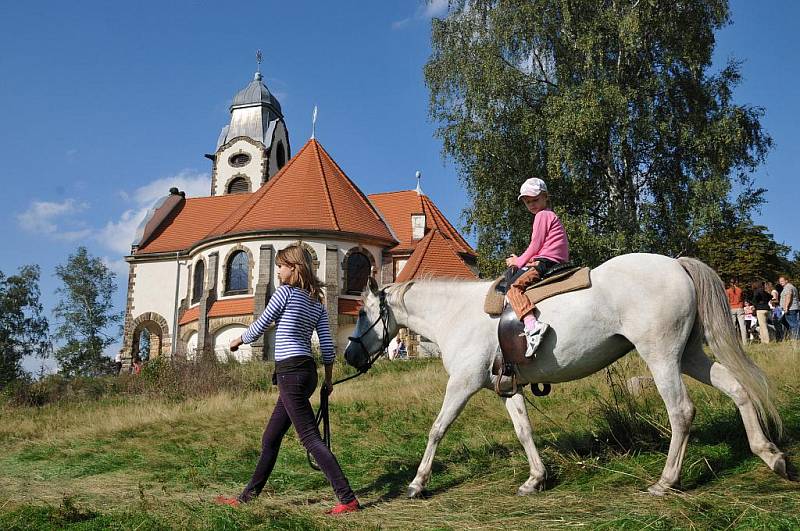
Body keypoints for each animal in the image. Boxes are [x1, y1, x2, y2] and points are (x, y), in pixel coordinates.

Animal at [344, 254, 788, 498]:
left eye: (364, 313)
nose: (349, 354)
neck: (455, 313)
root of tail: (676, 264)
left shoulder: (463, 385)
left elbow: (437, 429)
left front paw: (418, 483)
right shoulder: (507, 388)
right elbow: (524, 431)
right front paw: (535, 479)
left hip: (661, 355)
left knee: (681, 412)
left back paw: (666, 481)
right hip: (689, 355)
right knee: (738, 389)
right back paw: (771, 455)